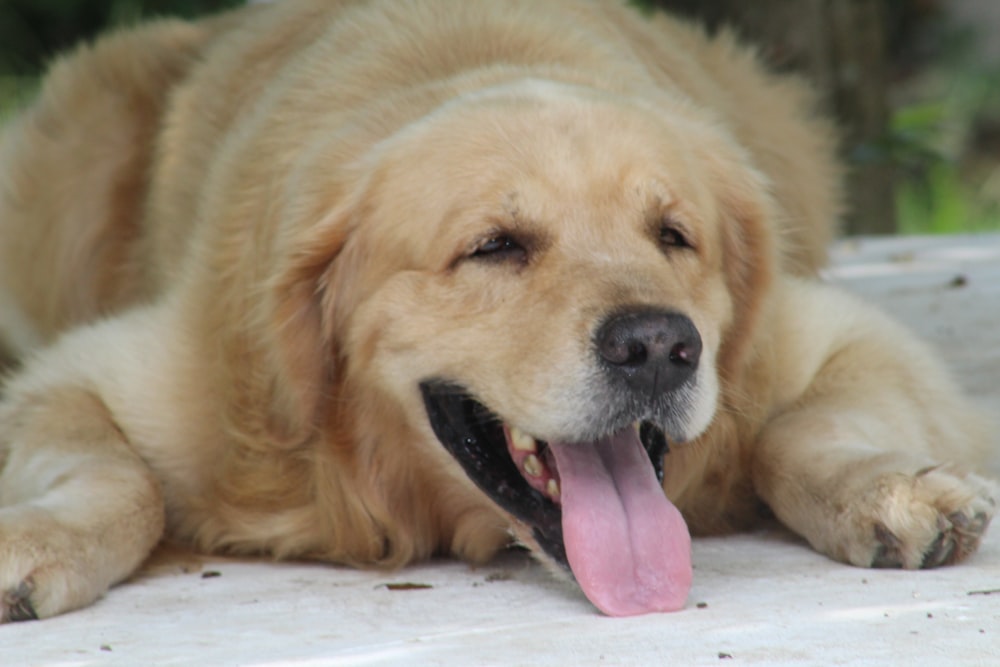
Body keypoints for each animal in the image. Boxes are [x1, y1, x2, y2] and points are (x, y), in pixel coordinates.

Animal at [0, 0, 996, 620]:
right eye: (495, 246)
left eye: (673, 234)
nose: (659, 346)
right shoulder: (103, 376)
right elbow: (117, 478)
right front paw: (35, 540)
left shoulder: (835, 334)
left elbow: (802, 425)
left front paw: (890, 487)